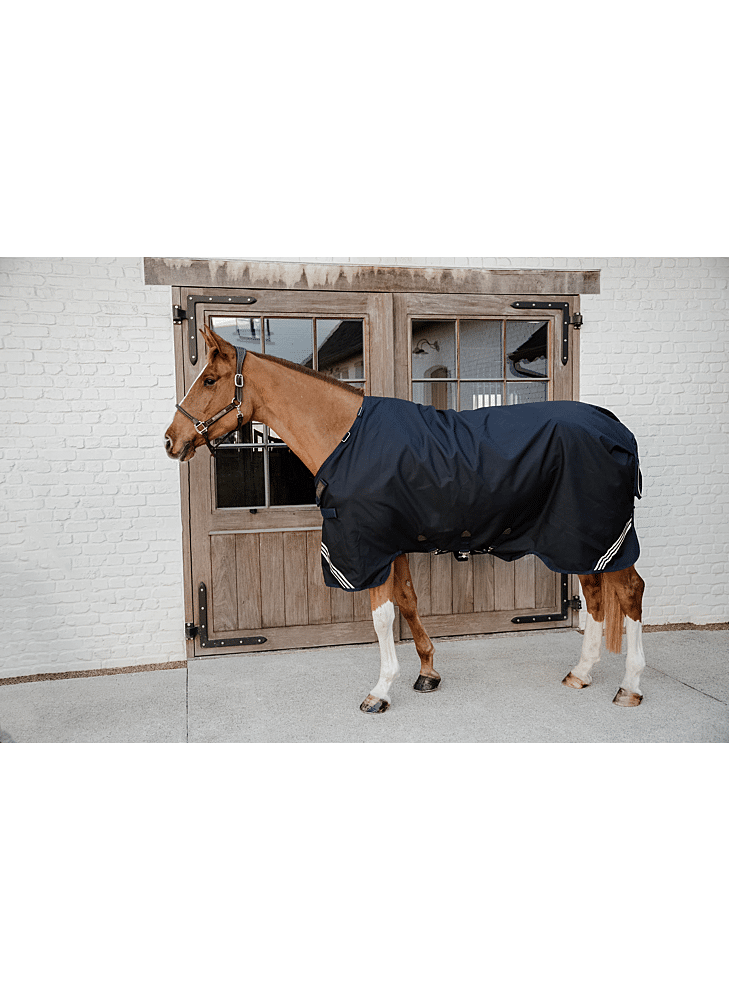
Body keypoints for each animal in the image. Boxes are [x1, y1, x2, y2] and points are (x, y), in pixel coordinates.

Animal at [165, 324, 646, 714]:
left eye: (209, 380)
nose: (171, 440)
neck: (348, 437)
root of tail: (616, 429)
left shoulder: (367, 547)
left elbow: (381, 617)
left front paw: (379, 692)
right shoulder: (391, 544)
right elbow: (409, 603)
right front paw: (427, 673)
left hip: (598, 535)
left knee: (630, 593)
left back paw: (629, 687)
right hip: (579, 541)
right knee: (596, 596)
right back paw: (581, 673)